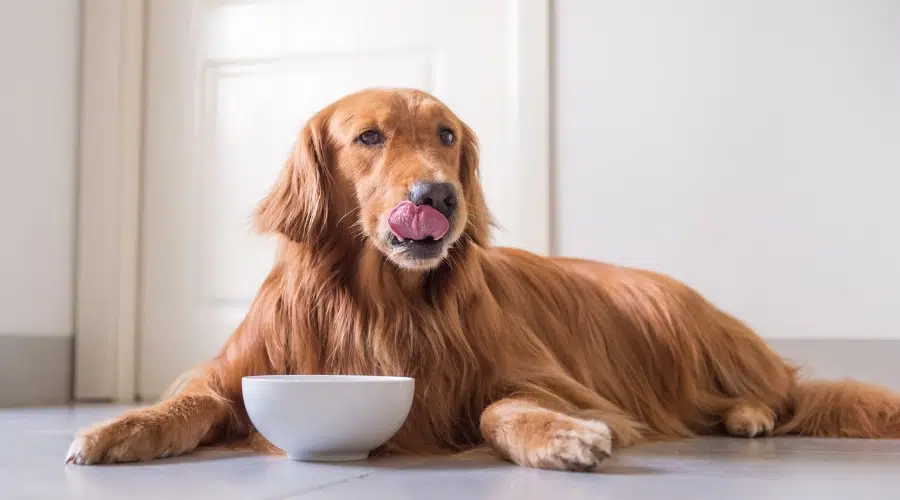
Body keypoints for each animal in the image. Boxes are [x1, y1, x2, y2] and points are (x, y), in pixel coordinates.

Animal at [65, 89, 900, 468]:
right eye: (369, 137)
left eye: (446, 134)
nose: (438, 196)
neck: (379, 303)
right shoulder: (238, 370)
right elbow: (189, 404)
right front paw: (114, 429)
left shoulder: (547, 379)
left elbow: (504, 404)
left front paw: (559, 435)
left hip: (677, 323)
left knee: (780, 393)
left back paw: (751, 413)